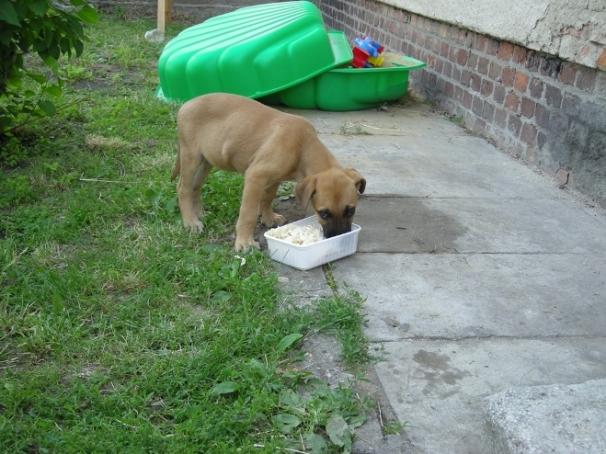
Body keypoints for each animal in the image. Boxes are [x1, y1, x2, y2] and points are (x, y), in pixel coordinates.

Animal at [172, 93, 366, 252]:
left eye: (351, 210)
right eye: (323, 213)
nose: (339, 237)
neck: (302, 146)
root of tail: (185, 105)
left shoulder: (274, 178)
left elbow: (267, 198)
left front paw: (268, 218)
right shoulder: (255, 176)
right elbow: (248, 213)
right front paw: (245, 242)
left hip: (206, 161)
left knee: (195, 187)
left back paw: (199, 213)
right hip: (191, 157)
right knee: (183, 188)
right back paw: (190, 221)